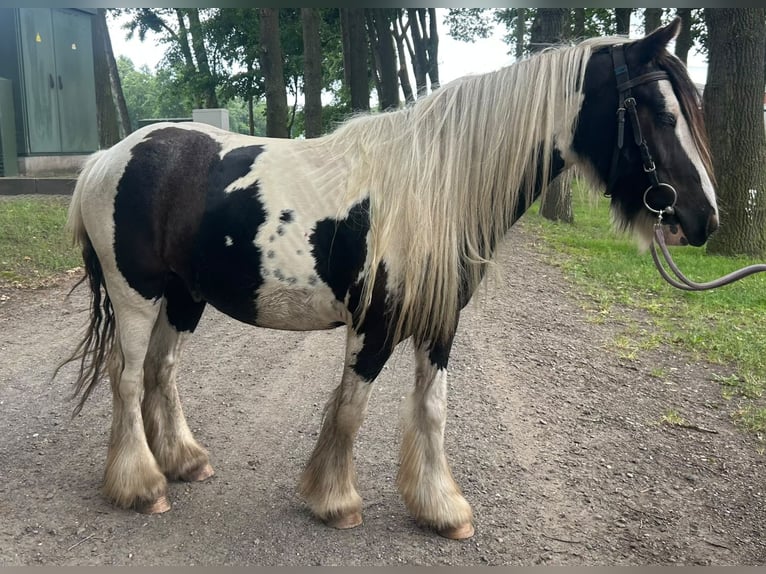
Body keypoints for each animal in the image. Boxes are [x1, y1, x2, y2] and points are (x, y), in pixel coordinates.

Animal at [61, 18, 718, 540]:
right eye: (662, 113)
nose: (703, 218)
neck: (437, 188)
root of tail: (107, 158)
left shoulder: (440, 324)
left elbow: (432, 410)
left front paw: (442, 511)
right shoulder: (373, 326)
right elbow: (351, 409)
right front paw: (335, 502)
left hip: (184, 298)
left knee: (161, 372)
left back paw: (182, 461)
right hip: (138, 296)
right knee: (126, 378)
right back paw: (142, 486)